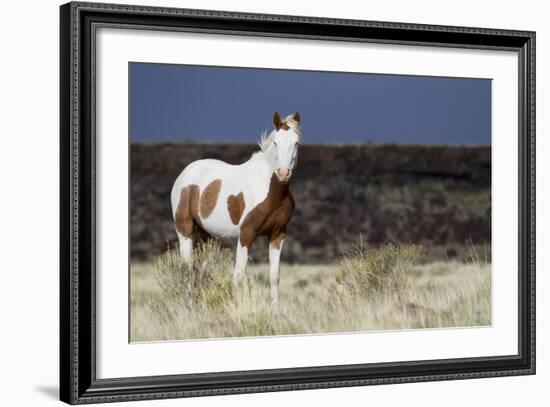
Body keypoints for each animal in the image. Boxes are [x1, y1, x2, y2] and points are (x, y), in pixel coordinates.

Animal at [171, 111, 302, 306]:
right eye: (276, 142)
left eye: (296, 142)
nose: (283, 173)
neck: (270, 190)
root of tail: (185, 174)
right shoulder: (246, 234)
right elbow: (239, 275)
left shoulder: (278, 235)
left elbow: (274, 276)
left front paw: (275, 309)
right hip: (185, 231)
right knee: (187, 270)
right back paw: (188, 306)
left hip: (206, 236)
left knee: (201, 271)